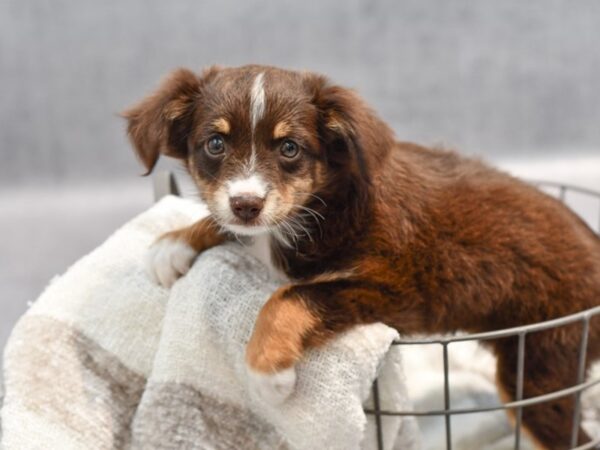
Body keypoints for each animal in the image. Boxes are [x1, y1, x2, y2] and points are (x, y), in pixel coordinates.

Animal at [123, 65, 600, 448]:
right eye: (215, 144)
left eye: (290, 148)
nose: (246, 204)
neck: (323, 205)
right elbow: (229, 227)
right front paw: (174, 243)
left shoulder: (396, 288)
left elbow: (291, 297)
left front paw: (267, 373)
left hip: (538, 368)